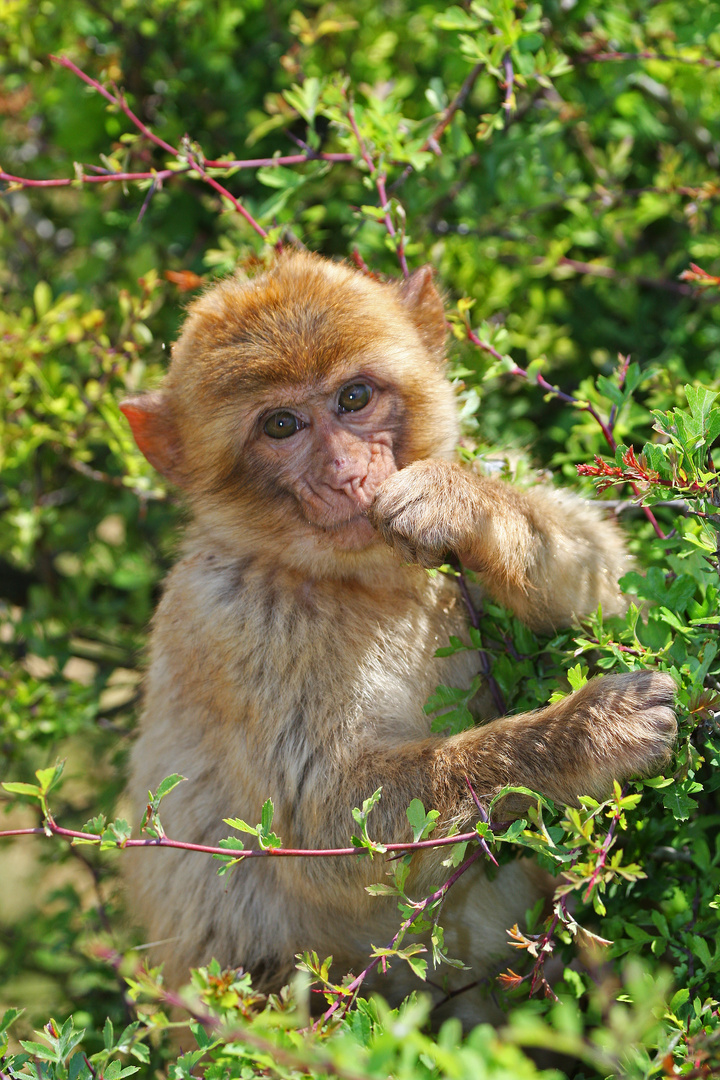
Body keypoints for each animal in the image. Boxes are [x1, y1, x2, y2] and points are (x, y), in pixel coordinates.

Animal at [120, 252, 677, 1019]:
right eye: (281, 425)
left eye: (354, 397)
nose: (348, 473)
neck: (369, 578)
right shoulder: (232, 615)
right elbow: (323, 823)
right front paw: (584, 732)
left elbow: (626, 592)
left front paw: (459, 506)